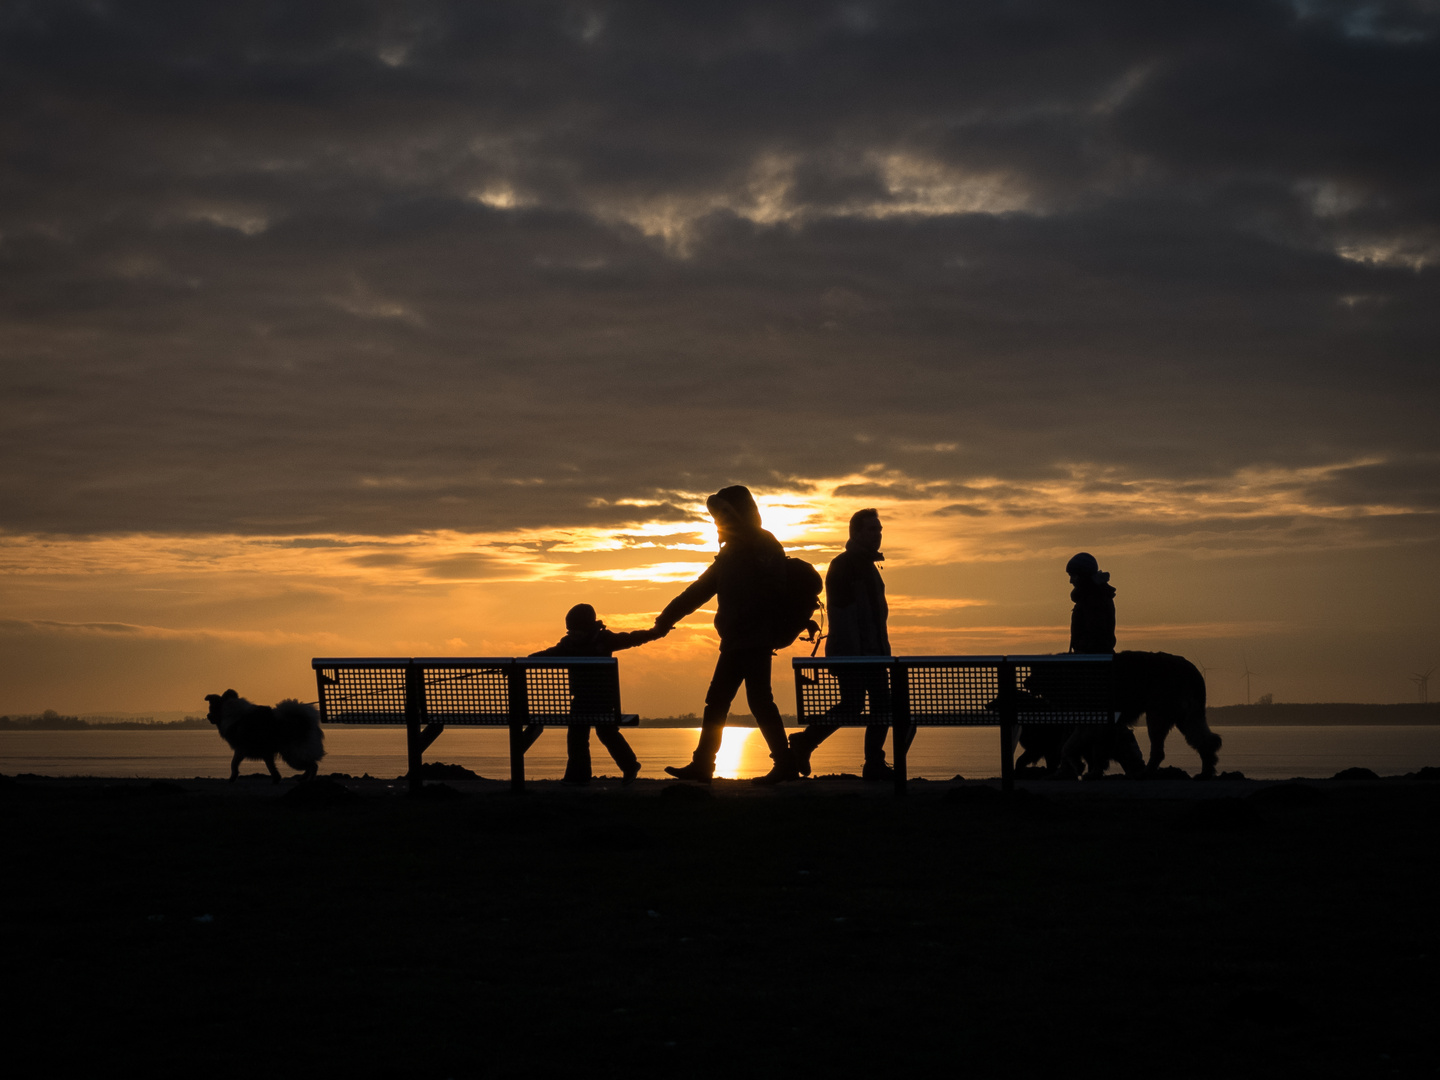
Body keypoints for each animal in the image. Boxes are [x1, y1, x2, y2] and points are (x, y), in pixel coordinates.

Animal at [1013, 650, 1226, 777]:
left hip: (1158, 714)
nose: (1025, 682)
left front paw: (1085, 769)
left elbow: (1072, 747)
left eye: (1036, 672)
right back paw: (1206, 770)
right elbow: (1072, 747)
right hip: (1184, 715)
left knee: (1159, 750)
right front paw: (1080, 768)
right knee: (1205, 740)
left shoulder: (1091, 721)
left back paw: (1146, 773)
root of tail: (1191, 669)